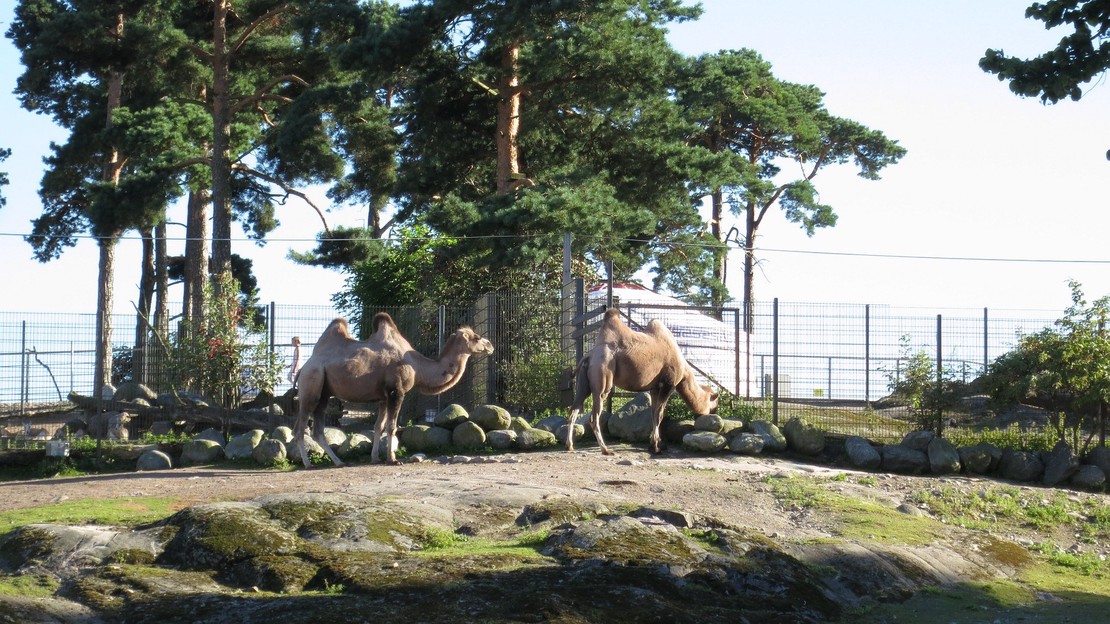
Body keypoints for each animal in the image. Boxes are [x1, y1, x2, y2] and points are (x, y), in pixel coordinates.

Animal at [293, 310, 492, 466]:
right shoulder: (396, 391)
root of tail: (303, 368)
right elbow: (392, 426)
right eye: (476, 337)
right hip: (311, 385)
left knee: (318, 430)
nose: (490, 345)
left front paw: (375, 458)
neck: (418, 367)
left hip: (324, 394)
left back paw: (339, 462)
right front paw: (392, 459)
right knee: (300, 429)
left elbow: (378, 427)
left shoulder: (383, 398)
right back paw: (308, 464)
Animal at [563, 308, 719, 455]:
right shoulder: (668, 384)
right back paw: (605, 450)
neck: (684, 370)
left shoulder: (655, 388)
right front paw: (656, 448)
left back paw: (570, 446)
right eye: (714, 401)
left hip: (583, 383)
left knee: (573, 409)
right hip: (602, 376)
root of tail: (589, 357)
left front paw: (656, 445)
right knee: (594, 416)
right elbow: (659, 415)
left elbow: (654, 414)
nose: (713, 411)